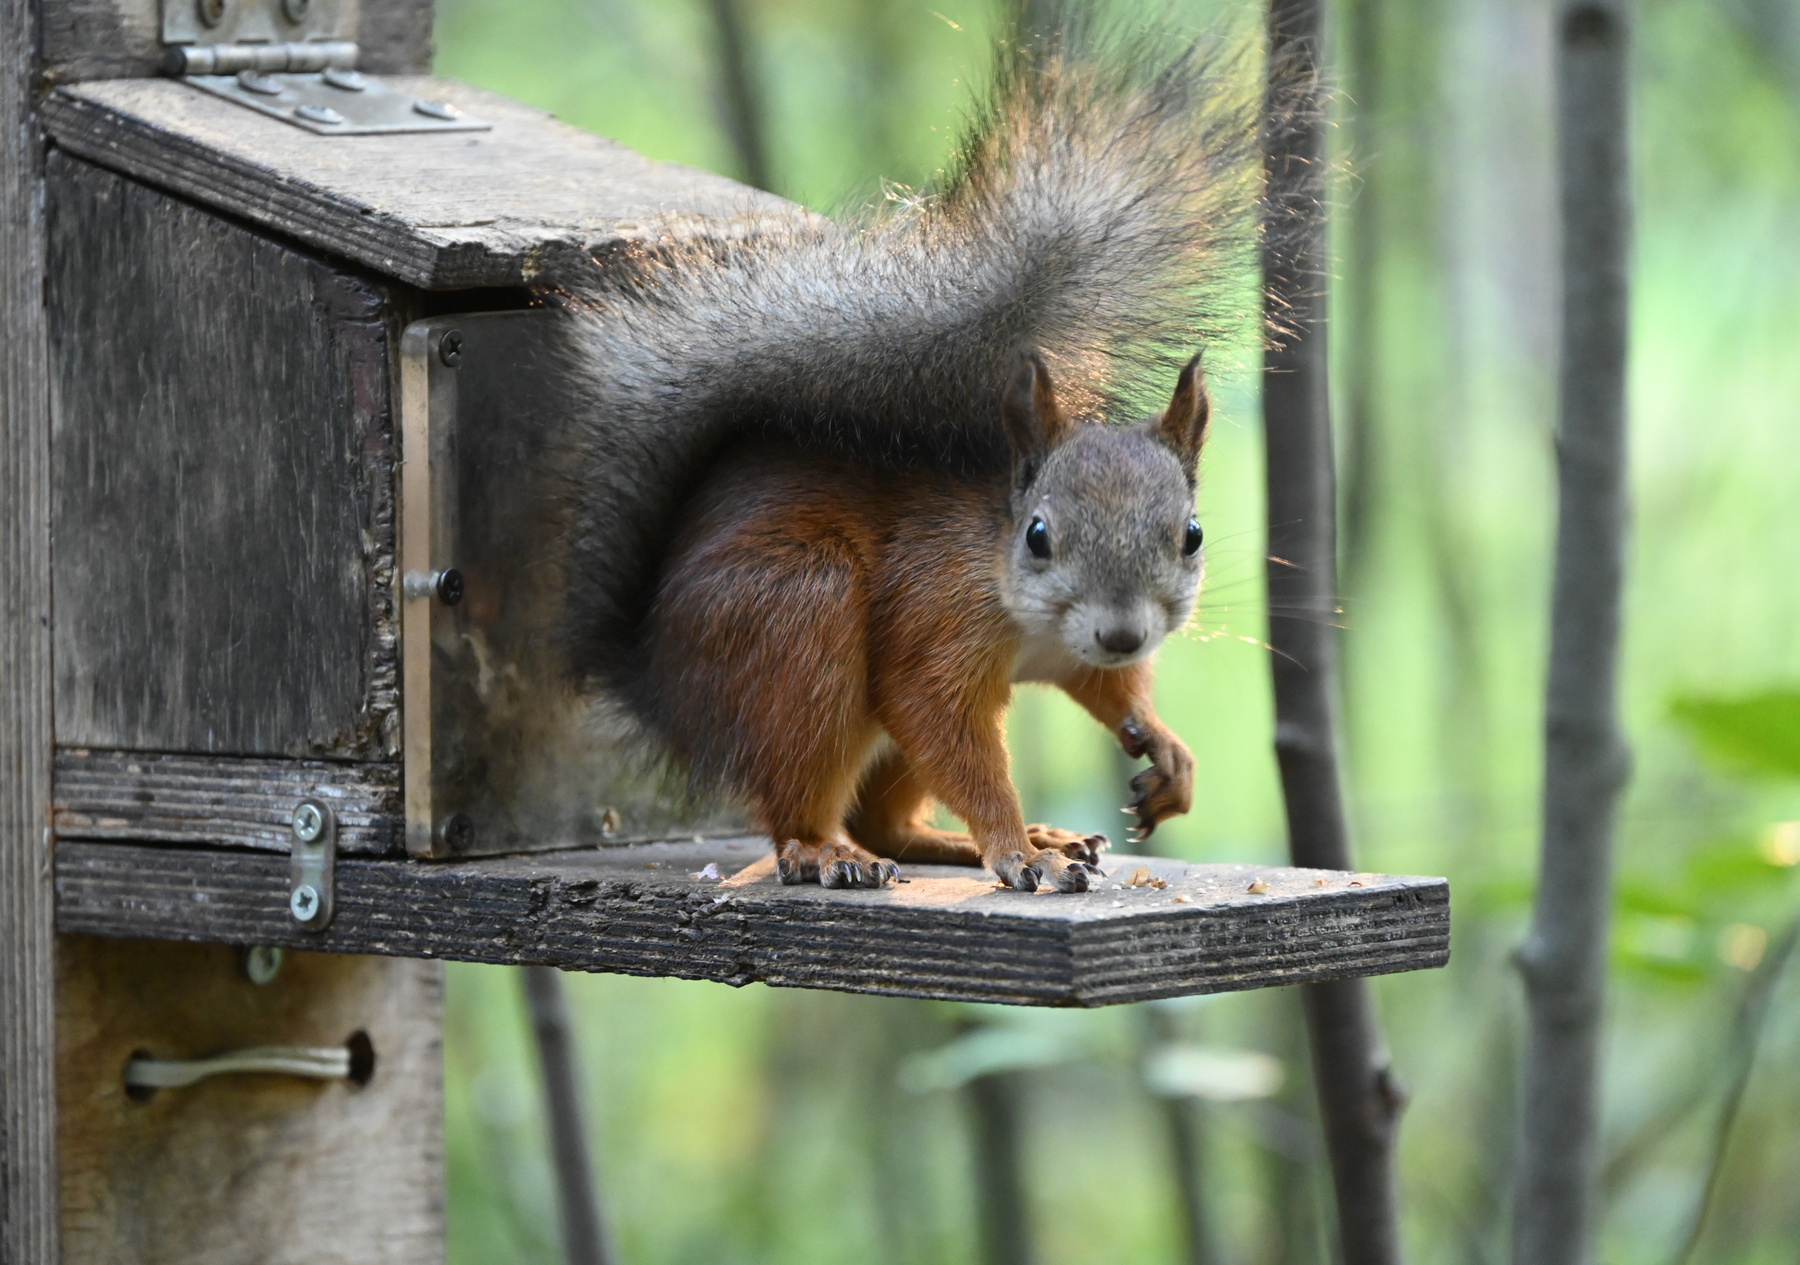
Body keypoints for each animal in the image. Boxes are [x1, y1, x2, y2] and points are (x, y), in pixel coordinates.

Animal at [544, 10, 1270, 893]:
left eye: (1190, 534)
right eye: (1039, 535)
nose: (1125, 634)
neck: (1008, 581)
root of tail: (651, 670)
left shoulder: (1072, 651)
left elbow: (1102, 685)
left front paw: (1161, 747)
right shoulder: (934, 611)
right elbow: (940, 721)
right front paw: (1014, 849)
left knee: (887, 822)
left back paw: (988, 838)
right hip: (795, 625)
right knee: (801, 801)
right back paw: (830, 850)